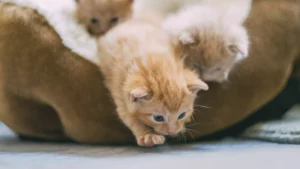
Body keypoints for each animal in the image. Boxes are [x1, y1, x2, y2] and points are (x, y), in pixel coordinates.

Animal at [98, 15, 209, 147]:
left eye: (181, 115)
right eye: (158, 118)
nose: (172, 131)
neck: (154, 62)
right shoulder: (120, 92)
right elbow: (130, 117)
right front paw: (147, 135)